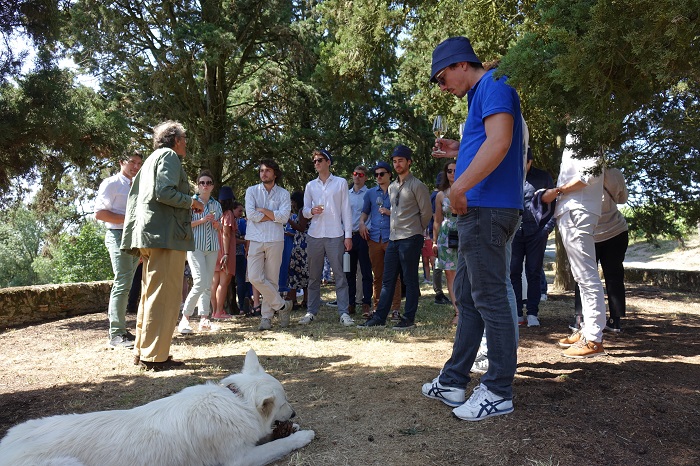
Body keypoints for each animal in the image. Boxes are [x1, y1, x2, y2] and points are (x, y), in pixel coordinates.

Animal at [0, 350, 314, 466]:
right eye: (285, 402)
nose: (294, 414)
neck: (234, 401)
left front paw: (292, 429)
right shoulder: (239, 460)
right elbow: (275, 445)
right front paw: (302, 435)